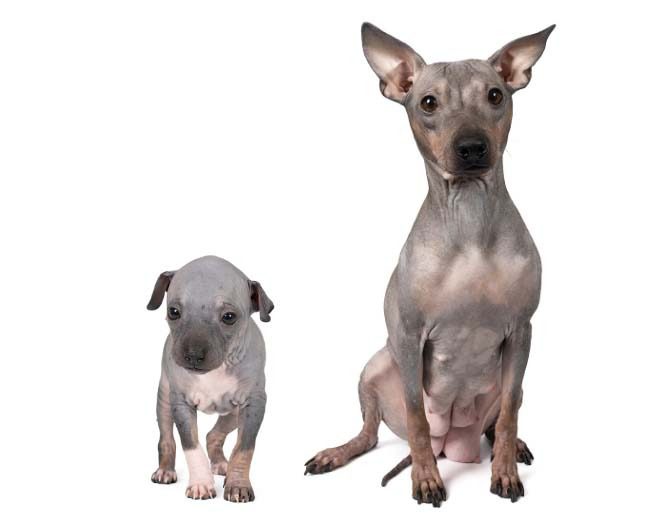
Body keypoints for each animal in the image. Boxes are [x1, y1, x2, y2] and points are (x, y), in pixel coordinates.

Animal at [148, 255, 273, 503]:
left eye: (229, 317)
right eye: (173, 311)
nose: (193, 355)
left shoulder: (254, 404)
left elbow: (244, 448)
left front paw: (237, 484)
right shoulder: (181, 404)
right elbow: (191, 445)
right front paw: (201, 484)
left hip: (234, 413)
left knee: (213, 435)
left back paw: (222, 464)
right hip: (165, 399)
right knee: (166, 439)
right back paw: (165, 470)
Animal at [305, 23, 553, 506]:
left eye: (495, 95)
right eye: (428, 103)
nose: (472, 147)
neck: (470, 222)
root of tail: (452, 443)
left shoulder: (522, 332)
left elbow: (508, 414)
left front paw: (505, 471)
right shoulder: (408, 335)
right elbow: (418, 417)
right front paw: (425, 479)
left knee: (500, 419)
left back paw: (512, 447)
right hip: (376, 365)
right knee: (370, 434)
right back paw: (337, 453)